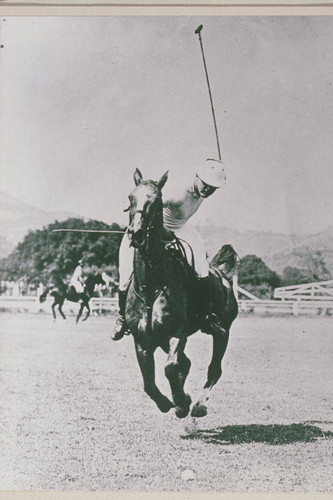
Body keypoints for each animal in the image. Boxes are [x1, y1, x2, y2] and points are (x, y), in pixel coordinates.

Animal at [123, 170, 237, 420]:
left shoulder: (177, 332)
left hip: (223, 330)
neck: (151, 287)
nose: (136, 234)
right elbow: (149, 382)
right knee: (187, 362)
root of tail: (222, 273)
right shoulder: (143, 341)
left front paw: (181, 403)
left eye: (157, 201)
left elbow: (170, 368)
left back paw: (199, 405)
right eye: (130, 198)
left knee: (214, 367)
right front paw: (171, 402)